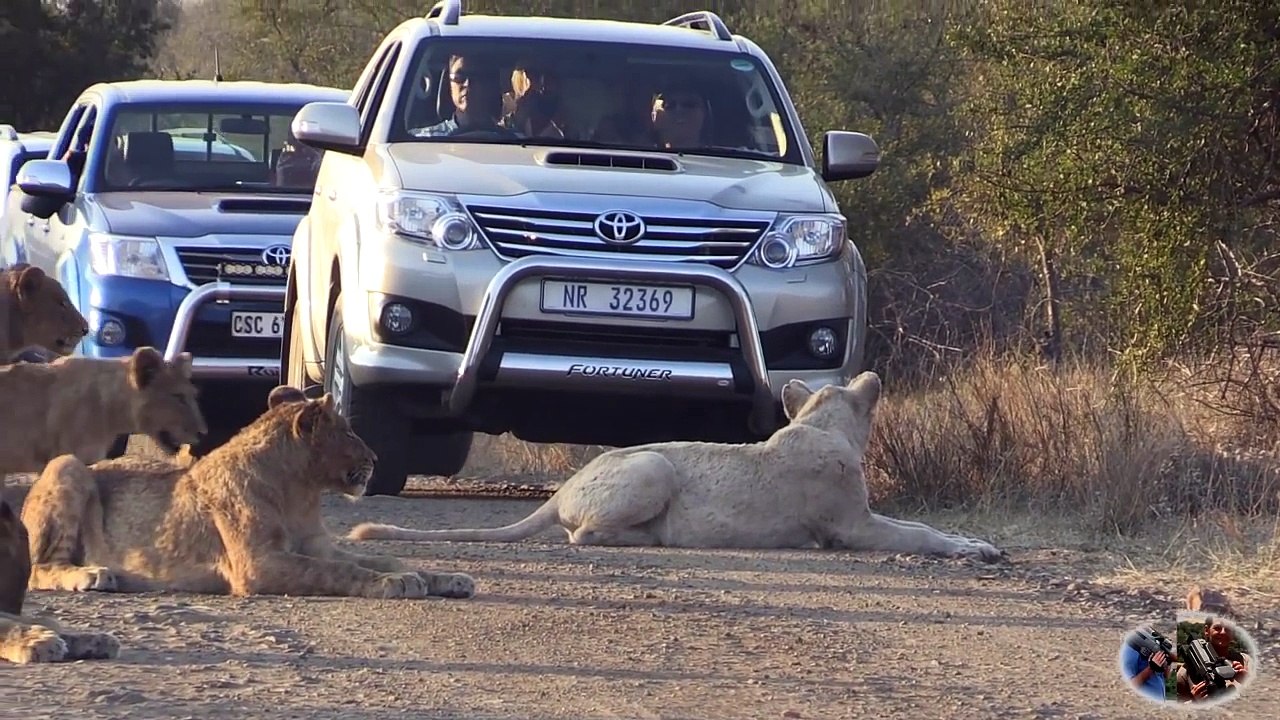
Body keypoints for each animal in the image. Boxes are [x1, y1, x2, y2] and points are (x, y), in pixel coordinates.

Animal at [21, 385, 477, 600]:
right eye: (348, 432)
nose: (376, 457)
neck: (300, 491)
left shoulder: (318, 544)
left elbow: (374, 558)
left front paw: (440, 577)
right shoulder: (258, 564)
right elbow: (339, 571)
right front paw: (394, 582)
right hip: (67, 465)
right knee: (40, 569)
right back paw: (92, 574)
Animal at [349, 372, 1006, 562]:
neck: (821, 422)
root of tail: (561, 489)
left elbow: (928, 526)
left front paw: (980, 542)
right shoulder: (851, 527)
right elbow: (917, 534)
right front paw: (971, 551)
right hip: (652, 470)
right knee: (584, 535)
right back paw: (653, 538)